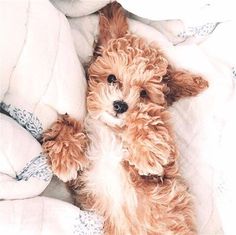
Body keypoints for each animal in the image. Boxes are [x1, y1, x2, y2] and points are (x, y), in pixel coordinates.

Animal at [42, 2, 208, 235]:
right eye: (112, 78)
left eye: (144, 93)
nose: (120, 105)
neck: (110, 129)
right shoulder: (81, 177)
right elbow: (64, 126)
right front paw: (66, 155)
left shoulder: (161, 174)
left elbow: (149, 121)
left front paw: (147, 152)